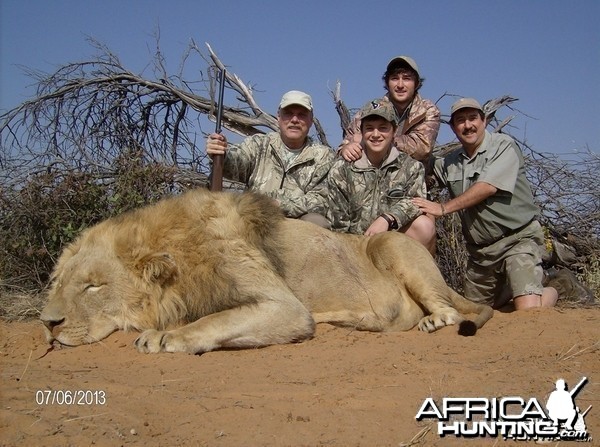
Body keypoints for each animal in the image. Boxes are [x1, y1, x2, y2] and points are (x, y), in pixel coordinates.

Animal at [41, 187, 492, 356]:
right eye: (60, 283)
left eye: (93, 287)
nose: (48, 323)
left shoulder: (286, 308)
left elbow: (214, 320)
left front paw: (165, 337)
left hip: (390, 244)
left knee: (451, 310)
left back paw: (433, 322)